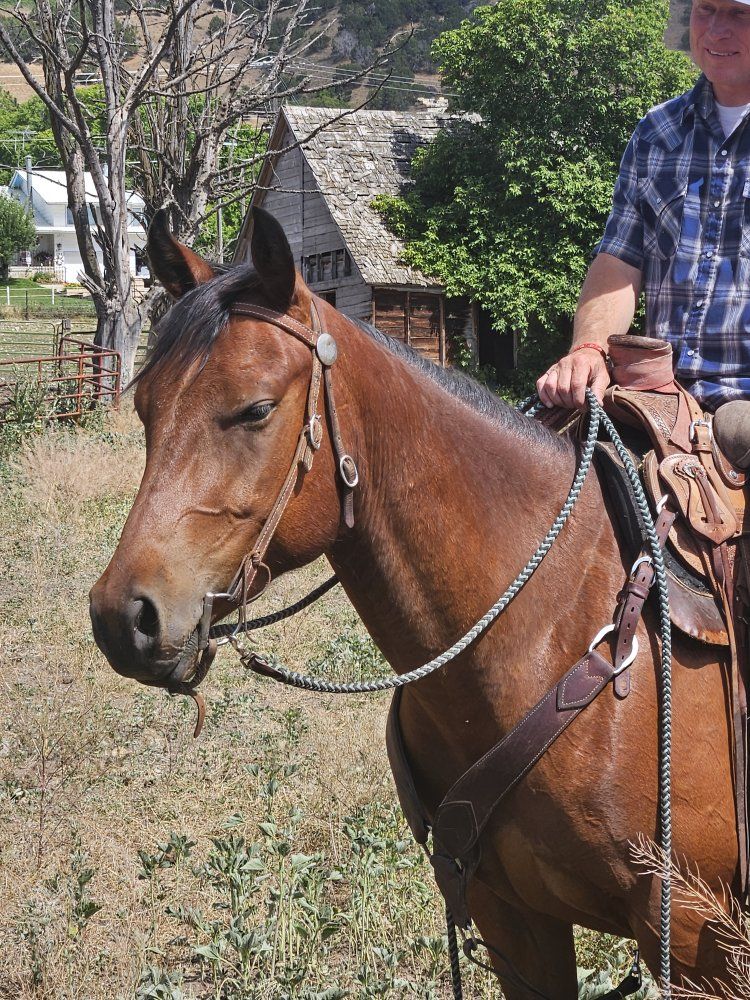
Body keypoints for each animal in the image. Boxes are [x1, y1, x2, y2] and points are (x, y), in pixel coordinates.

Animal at [89, 207, 738, 997]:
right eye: (145, 407)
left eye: (256, 409)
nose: (124, 617)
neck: (555, 625)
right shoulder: (509, 916)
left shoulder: (699, 937)